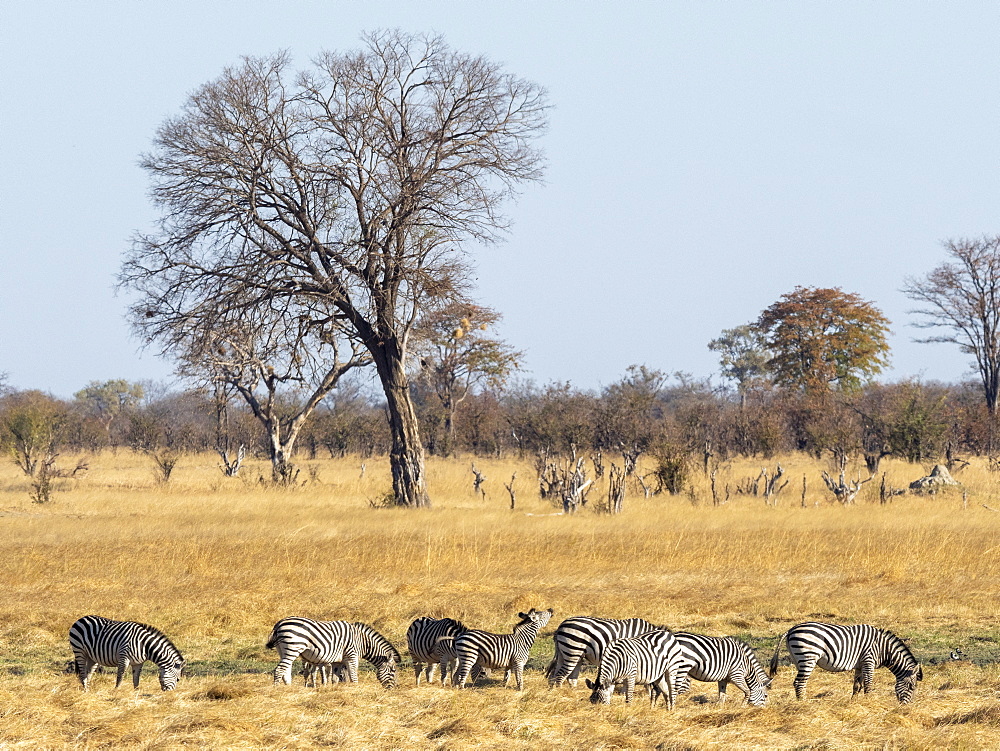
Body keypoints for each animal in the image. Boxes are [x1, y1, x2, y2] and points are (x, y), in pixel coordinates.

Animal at [270, 620, 406, 692]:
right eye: (393, 670)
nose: (394, 688)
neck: (362, 642)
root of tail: (279, 624)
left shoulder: (338, 661)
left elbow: (335, 678)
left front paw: (333, 690)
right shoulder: (352, 656)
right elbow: (353, 676)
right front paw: (356, 690)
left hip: (284, 650)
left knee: (286, 671)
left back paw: (289, 689)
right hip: (293, 648)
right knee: (279, 670)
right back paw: (277, 690)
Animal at [768, 624, 924, 704]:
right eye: (911, 686)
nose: (906, 707)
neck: (884, 649)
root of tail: (791, 629)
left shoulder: (860, 665)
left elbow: (857, 686)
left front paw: (853, 703)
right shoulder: (869, 661)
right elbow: (868, 685)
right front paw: (869, 703)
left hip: (798, 659)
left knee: (799, 682)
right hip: (808, 656)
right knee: (799, 683)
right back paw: (803, 704)